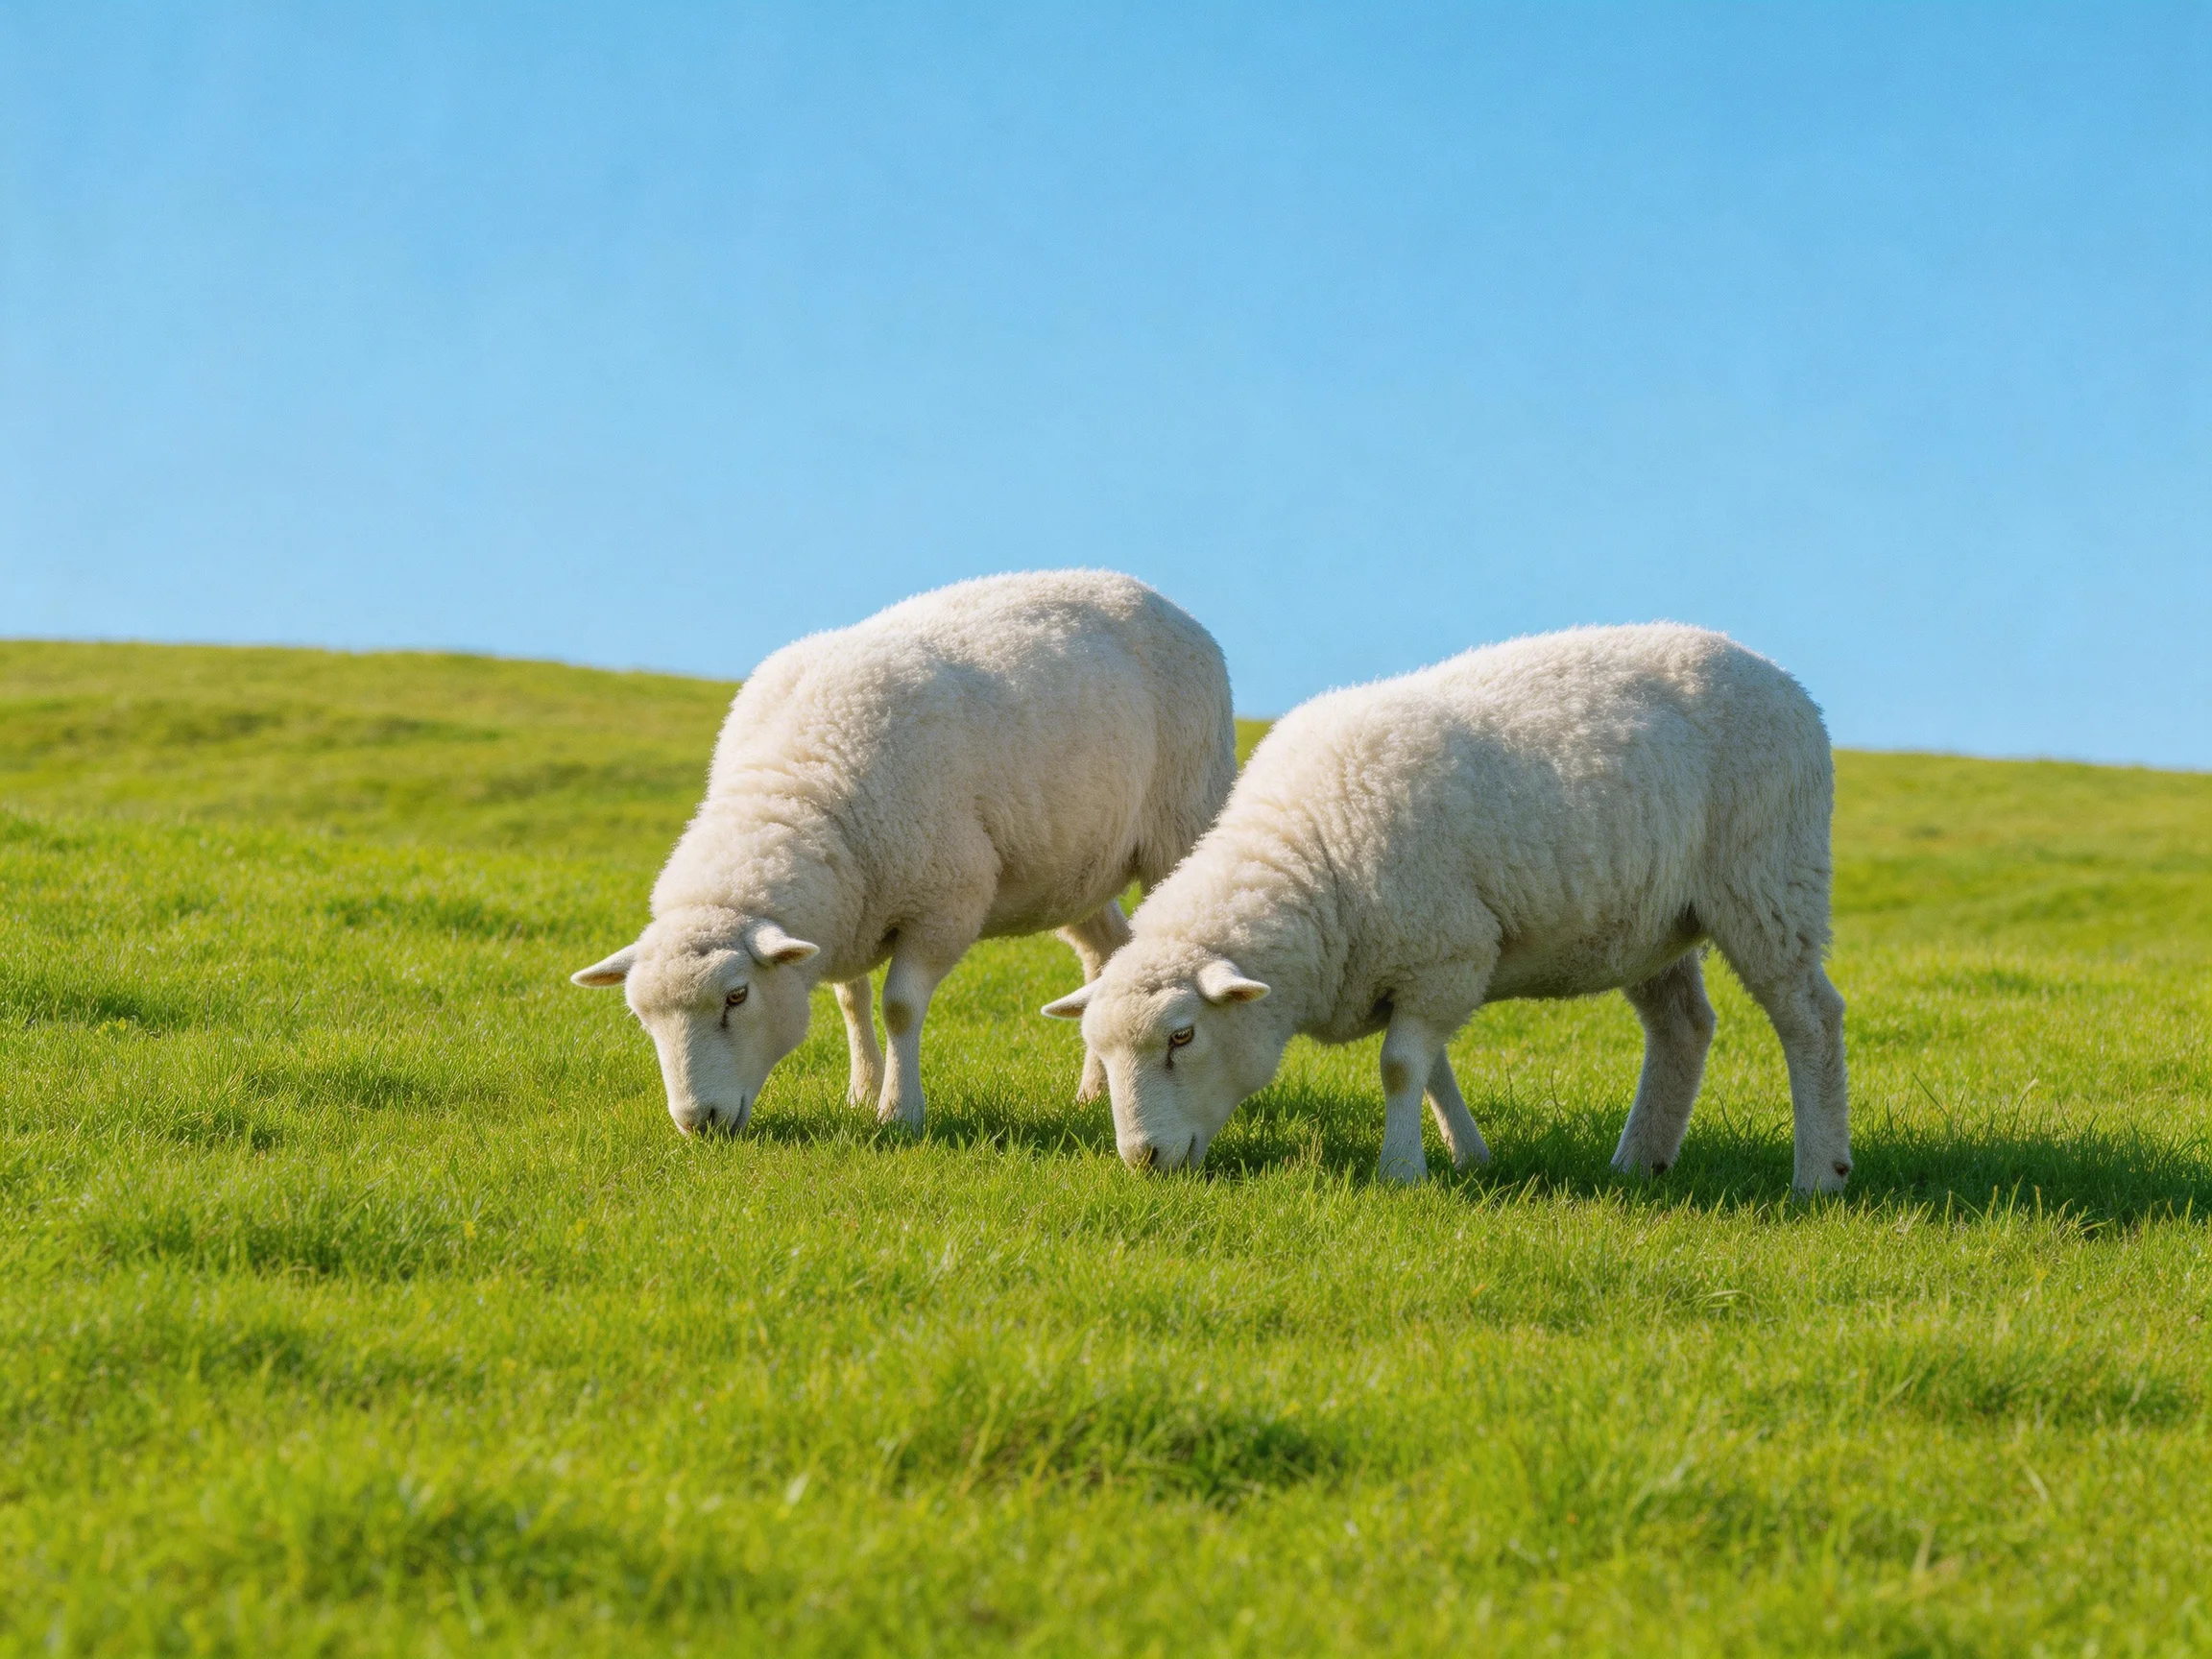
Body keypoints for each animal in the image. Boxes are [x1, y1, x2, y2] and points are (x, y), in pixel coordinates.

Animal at [572, 570, 1236, 1138]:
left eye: (737, 996)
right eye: (642, 1017)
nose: (697, 1123)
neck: (798, 785)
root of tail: (1149, 592)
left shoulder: (947, 901)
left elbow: (898, 1007)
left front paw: (899, 1111)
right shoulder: (853, 904)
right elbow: (852, 1001)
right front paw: (860, 1093)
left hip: (1185, 817)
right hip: (1074, 867)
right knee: (1107, 953)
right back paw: (1094, 1093)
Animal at [1044, 623, 1851, 1194]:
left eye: (1182, 1036)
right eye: (1099, 1049)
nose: (1143, 1159)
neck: (1311, 856)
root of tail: (1781, 677)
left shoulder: (1446, 952)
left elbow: (1402, 1067)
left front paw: (1402, 1172)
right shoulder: (1413, 966)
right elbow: (1432, 1070)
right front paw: (1470, 1157)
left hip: (1768, 877)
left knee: (1810, 1017)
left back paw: (1819, 1174)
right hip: (1652, 920)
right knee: (1683, 1026)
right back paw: (1640, 1163)